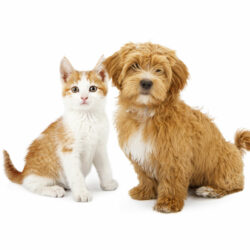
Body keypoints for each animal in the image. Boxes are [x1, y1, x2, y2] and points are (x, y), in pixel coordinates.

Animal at [2, 56, 118, 201]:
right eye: (75, 89)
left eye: (92, 88)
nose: (84, 97)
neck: (87, 118)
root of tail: (24, 171)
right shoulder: (68, 150)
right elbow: (76, 174)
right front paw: (82, 193)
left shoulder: (100, 147)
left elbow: (105, 166)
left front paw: (108, 184)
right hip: (41, 173)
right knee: (30, 184)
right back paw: (53, 189)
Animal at [103, 42, 250, 213]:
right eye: (134, 65)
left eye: (159, 69)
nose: (146, 82)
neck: (147, 112)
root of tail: (235, 148)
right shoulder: (140, 154)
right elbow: (145, 175)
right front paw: (145, 192)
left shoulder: (174, 156)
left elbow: (171, 180)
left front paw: (168, 202)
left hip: (223, 169)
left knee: (235, 186)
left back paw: (210, 190)